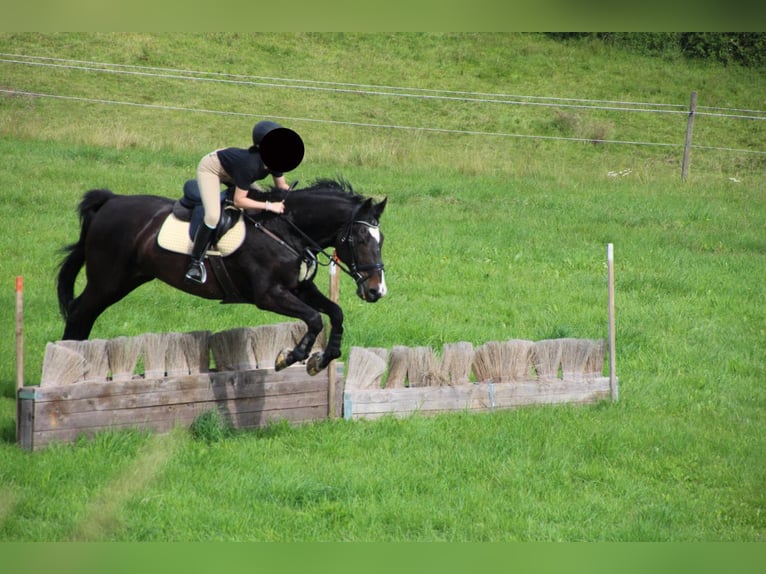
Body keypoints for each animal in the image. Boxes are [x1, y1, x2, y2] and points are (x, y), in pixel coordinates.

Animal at [58, 181, 390, 378]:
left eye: (381, 239)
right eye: (361, 238)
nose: (377, 290)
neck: (287, 230)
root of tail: (110, 201)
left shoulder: (300, 288)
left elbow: (335, 313)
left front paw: (322, 359)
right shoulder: (268, 295)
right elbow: (314, 318)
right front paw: (289, 357)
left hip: (128, 278)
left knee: (83, 314)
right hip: (108, 280)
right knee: (79, 313)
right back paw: (72, 362)